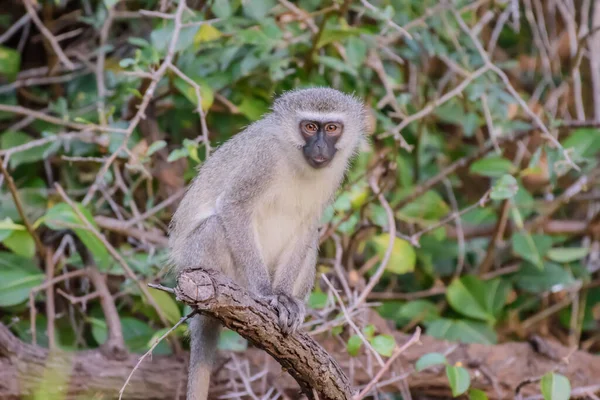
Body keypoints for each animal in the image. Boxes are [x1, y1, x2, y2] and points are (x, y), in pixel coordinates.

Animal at [166, 87, 368, 400]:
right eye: (310, 127)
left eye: (332, 128)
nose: (320, 148)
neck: (295, 157)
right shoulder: (264, 159)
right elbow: (234, 207)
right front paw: (266, 294)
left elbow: (308, 227)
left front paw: (284, 296)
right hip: (198, 260)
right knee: (215, 227)